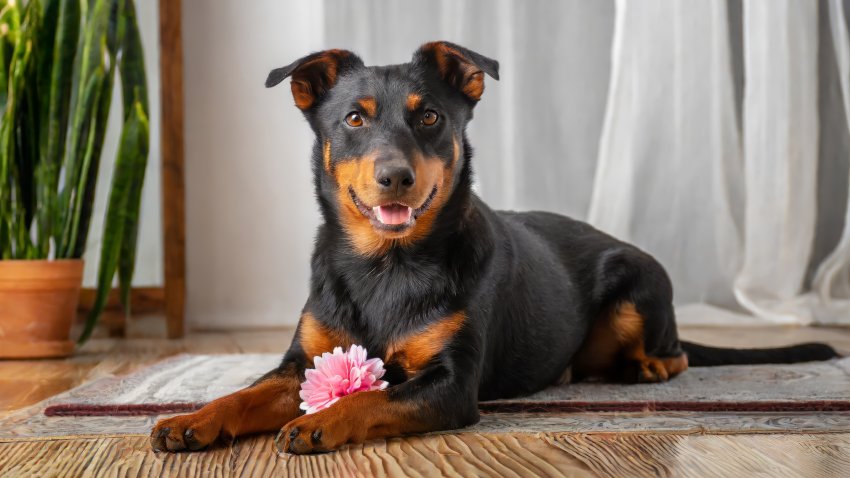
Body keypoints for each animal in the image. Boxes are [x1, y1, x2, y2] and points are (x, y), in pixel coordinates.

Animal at [151, 43, 836, 454]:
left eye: (430, 117)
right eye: (353, 118)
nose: (395, 176)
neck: (386, 264)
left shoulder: (450, 385)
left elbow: (371, 397)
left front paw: (316, 421)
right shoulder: (302, 360)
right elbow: (244, 393)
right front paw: (191, 419)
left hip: (638, 282)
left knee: (680, 355)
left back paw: (645, 367)